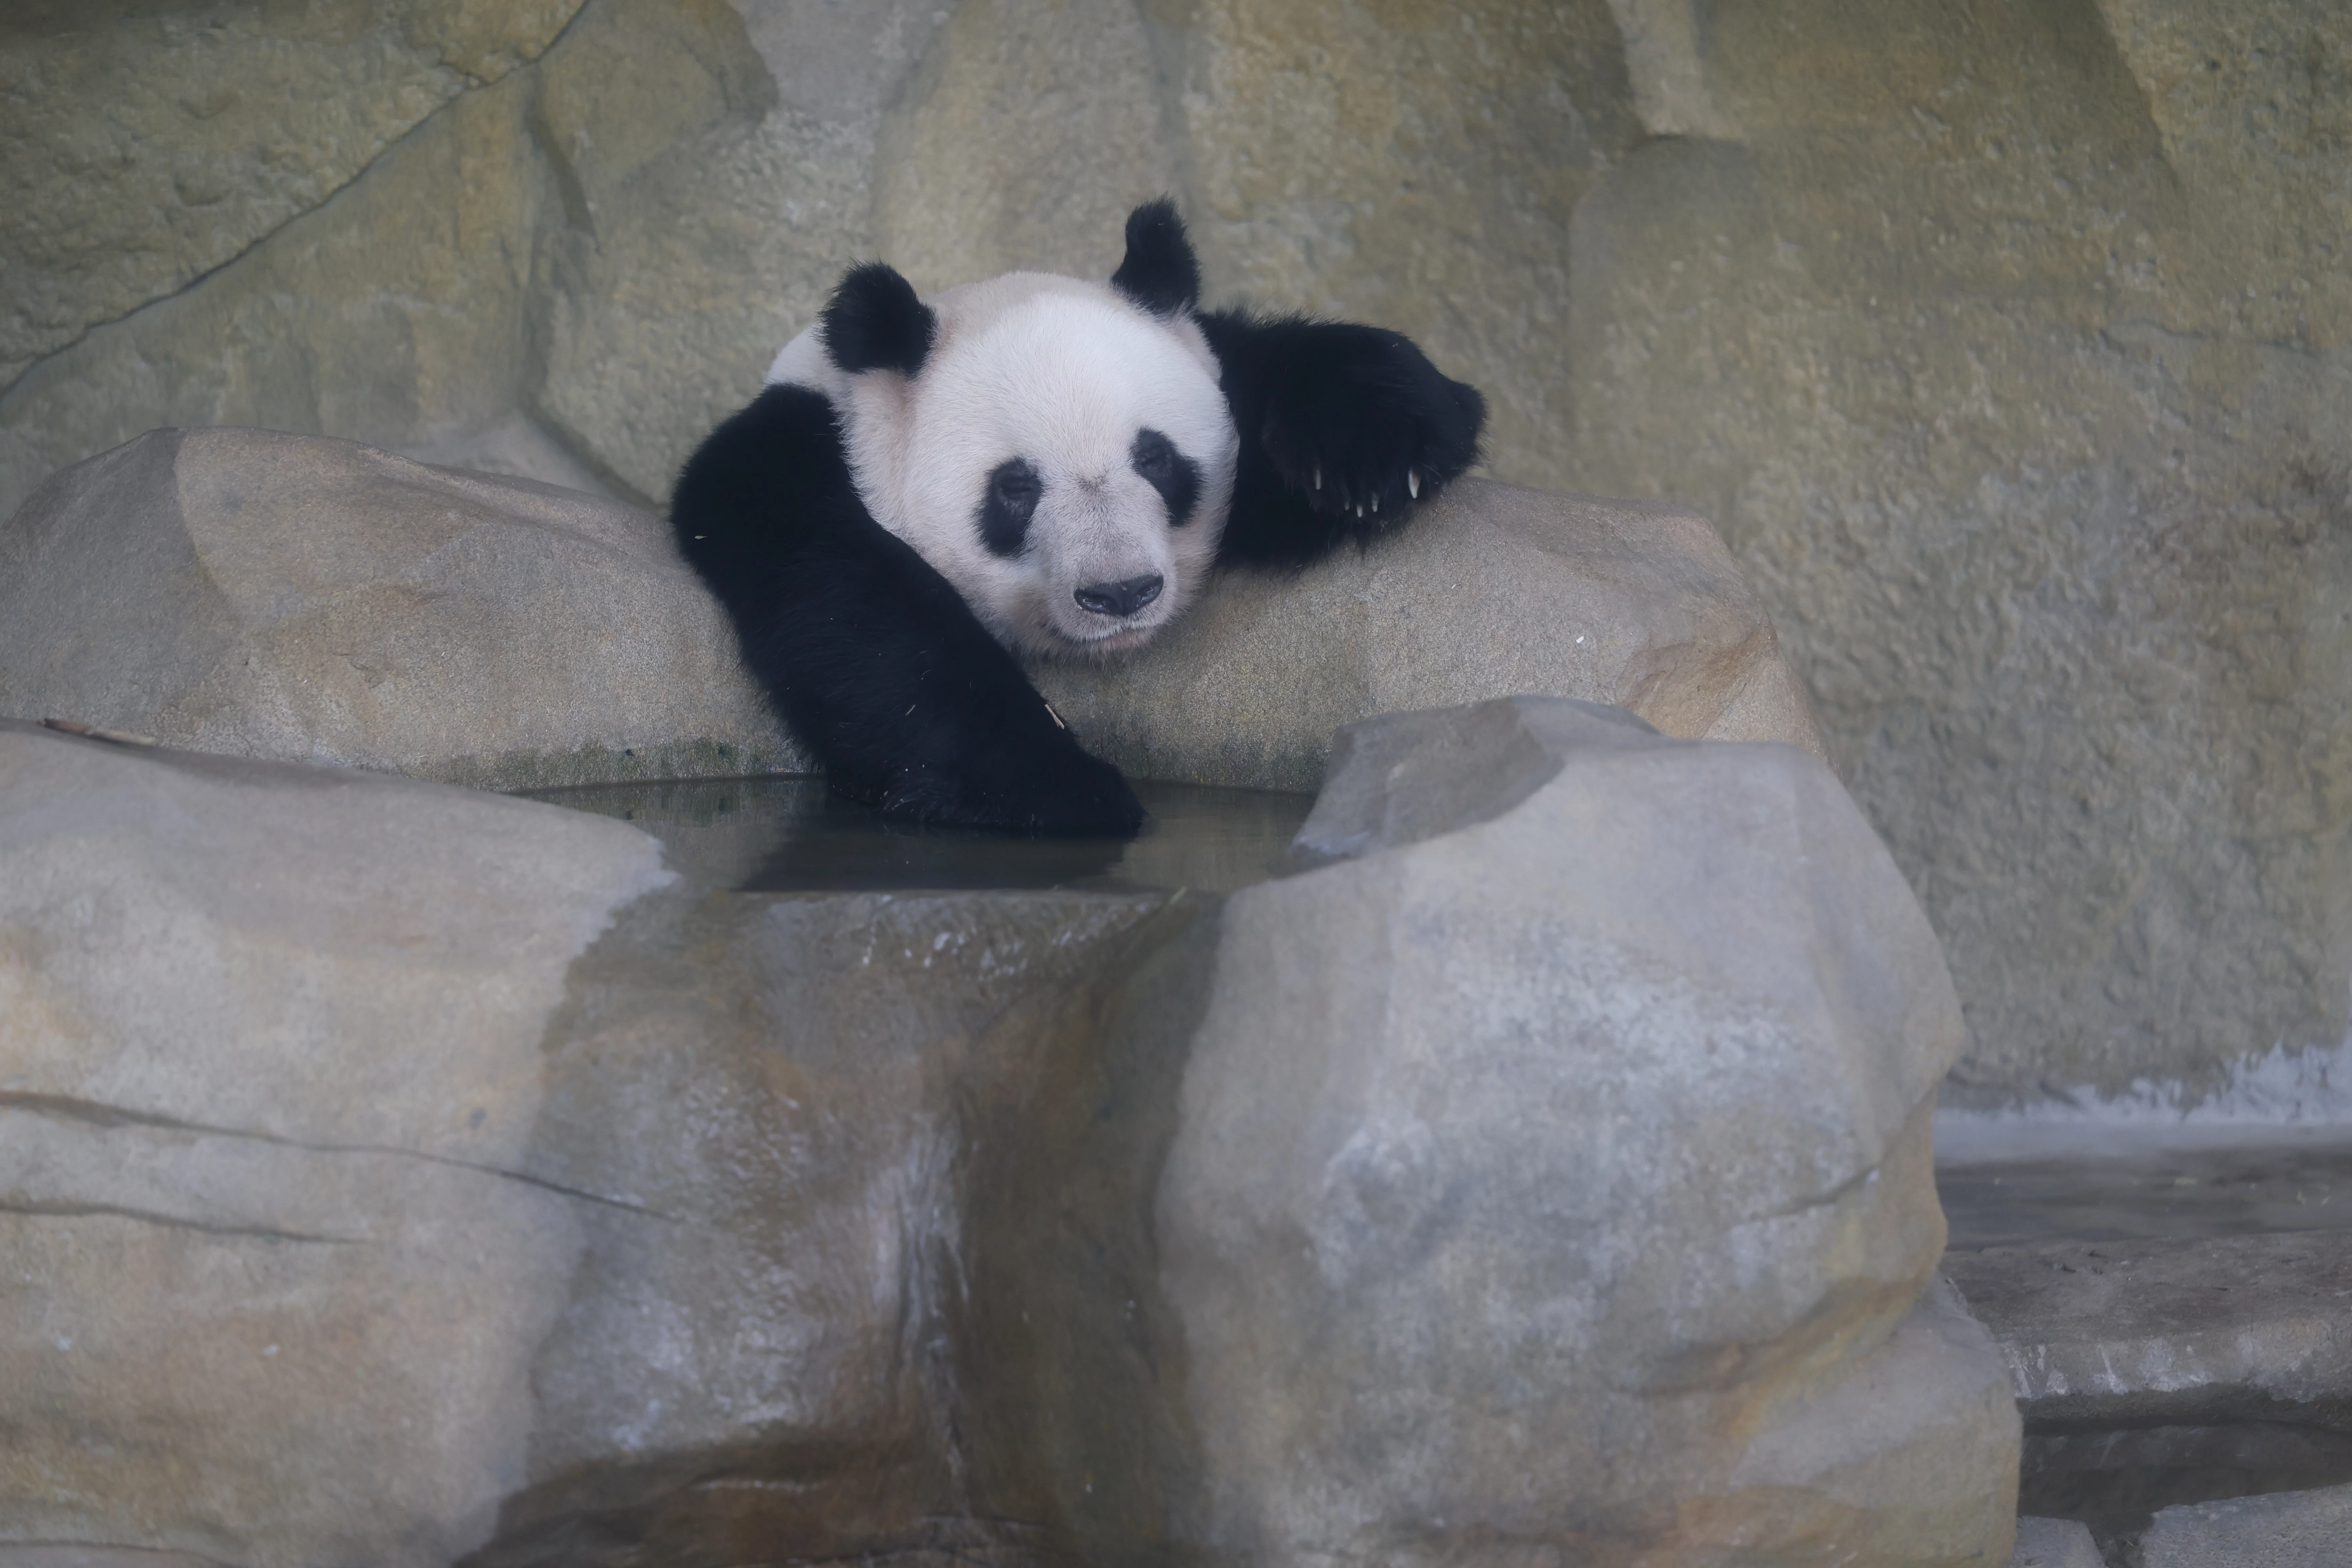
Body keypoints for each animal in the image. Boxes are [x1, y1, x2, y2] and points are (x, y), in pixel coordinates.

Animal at [672, 200, 1485, 836]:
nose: (1121, 594)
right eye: (1015, 488)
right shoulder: (780, 472)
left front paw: (1377, 453)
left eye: (1156, 458)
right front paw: (1058, 784)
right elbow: (860, 615)